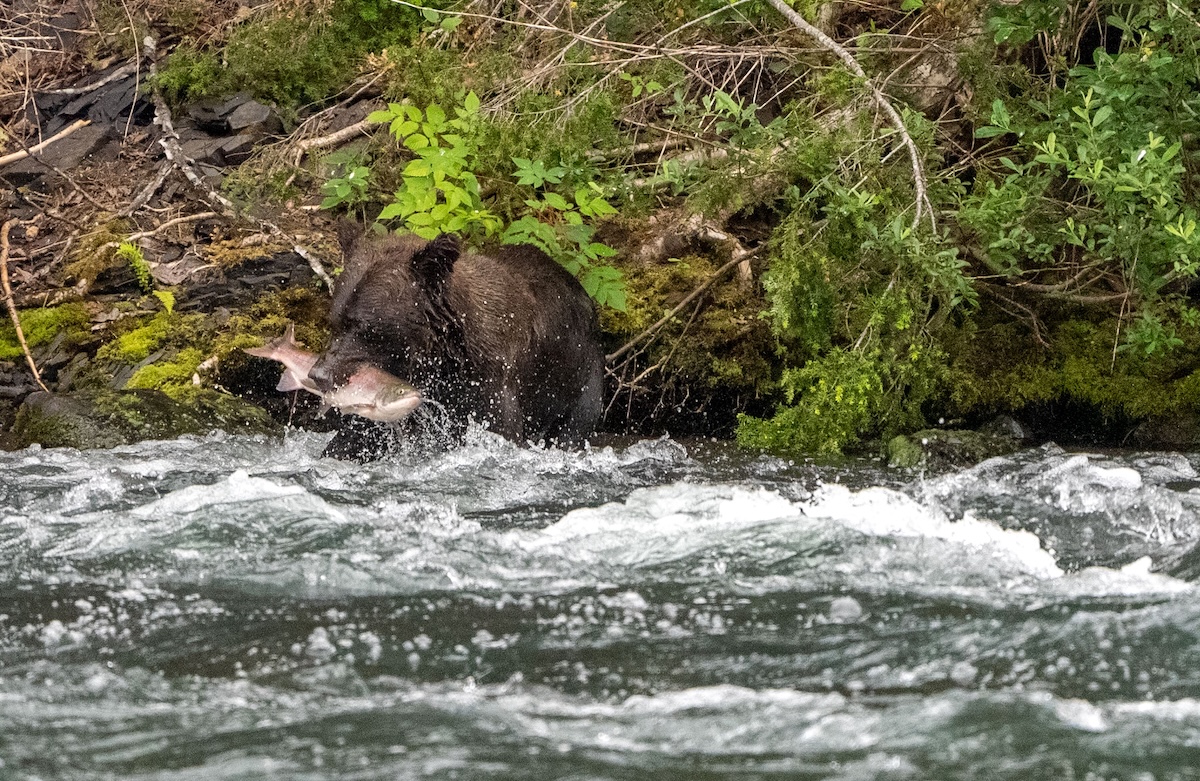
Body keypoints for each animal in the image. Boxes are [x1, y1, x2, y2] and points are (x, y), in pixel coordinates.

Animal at [308, 224, 605, 459]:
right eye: (334, 321)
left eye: (364, 326)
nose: (319, 374)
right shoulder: (392, 397)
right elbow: (354, 439)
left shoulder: (491, 385)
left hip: (580, 382)